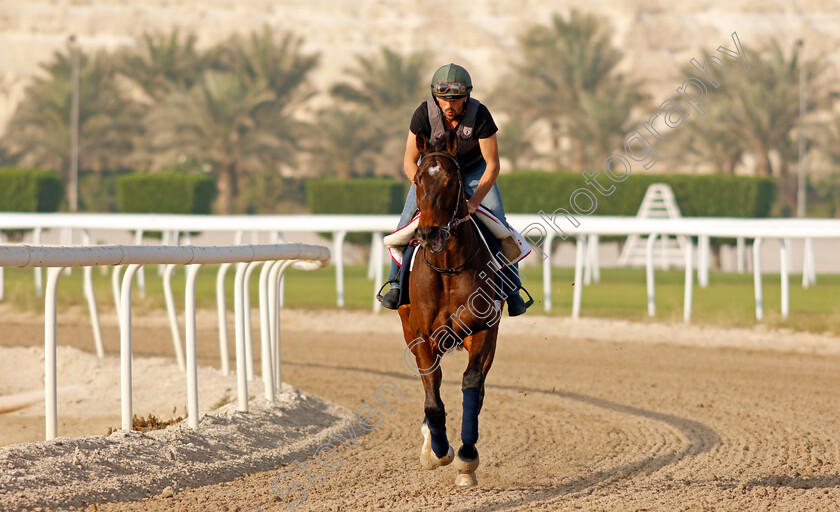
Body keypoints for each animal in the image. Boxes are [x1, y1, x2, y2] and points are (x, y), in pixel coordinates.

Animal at [400, 130, 506, 486]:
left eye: (450, 179)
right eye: (418, 179)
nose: (429, 233)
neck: (447, 267)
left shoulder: (484, 329)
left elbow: (471, 384)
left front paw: (466, 458)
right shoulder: (421, 335)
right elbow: (432, 399)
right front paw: (438, 451)